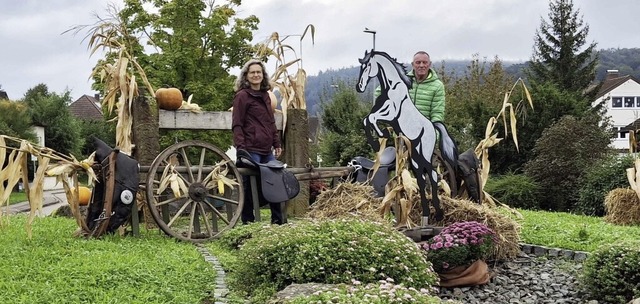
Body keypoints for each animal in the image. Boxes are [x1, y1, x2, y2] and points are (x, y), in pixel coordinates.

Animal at [358, 50, 458, 223]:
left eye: (368, 66)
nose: (360, 87)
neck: (391, 86)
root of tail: (433, 126)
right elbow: (367, 119)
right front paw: (377, 142)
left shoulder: (390, 113)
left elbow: (372, 118)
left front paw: (382, 136)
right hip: (415, 156)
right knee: (421, 178)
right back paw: (426, 213)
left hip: (425, 153)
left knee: (433, 175)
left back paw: (438, 213)